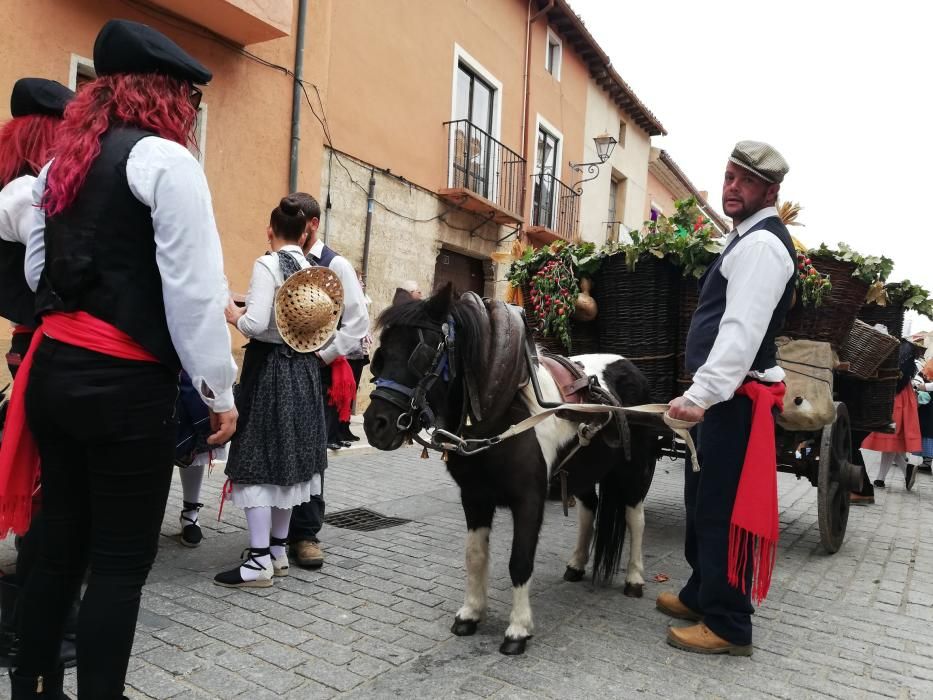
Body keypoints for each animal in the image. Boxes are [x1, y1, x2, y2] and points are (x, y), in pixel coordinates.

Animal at [364, 286, 656, 656]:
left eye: (423, 352)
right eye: (381, 353)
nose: (376, 425)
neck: (504, 414)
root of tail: (632, 369)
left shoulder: (528, 501)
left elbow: (520, 561)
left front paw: (518, 629)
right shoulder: (474, 498)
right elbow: (475, 556)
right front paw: (471, 614)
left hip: (634, 473)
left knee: (636, 519)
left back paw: (634, 578)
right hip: (582, 473)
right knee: (589, 509)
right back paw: (577, 564)